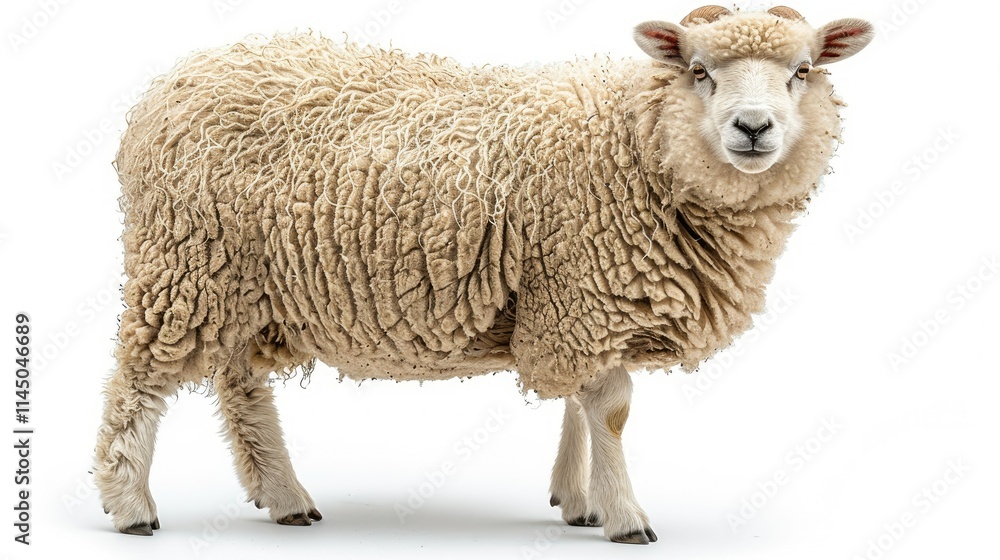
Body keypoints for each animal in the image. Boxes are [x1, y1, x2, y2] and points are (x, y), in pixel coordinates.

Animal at [94, 5, 873, 544]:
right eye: (700, 70)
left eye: (802, 71)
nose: (753, 127)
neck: (635, 140)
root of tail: (171, 83)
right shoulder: (581, 291)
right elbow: (611, 409)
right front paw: (626, 516)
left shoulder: (570, 297)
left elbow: (578, 403)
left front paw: (576, 500)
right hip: (182, 262)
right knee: (139, 380)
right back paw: (131, 507)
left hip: (242, 282)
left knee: (241, 386)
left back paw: (284, 497)